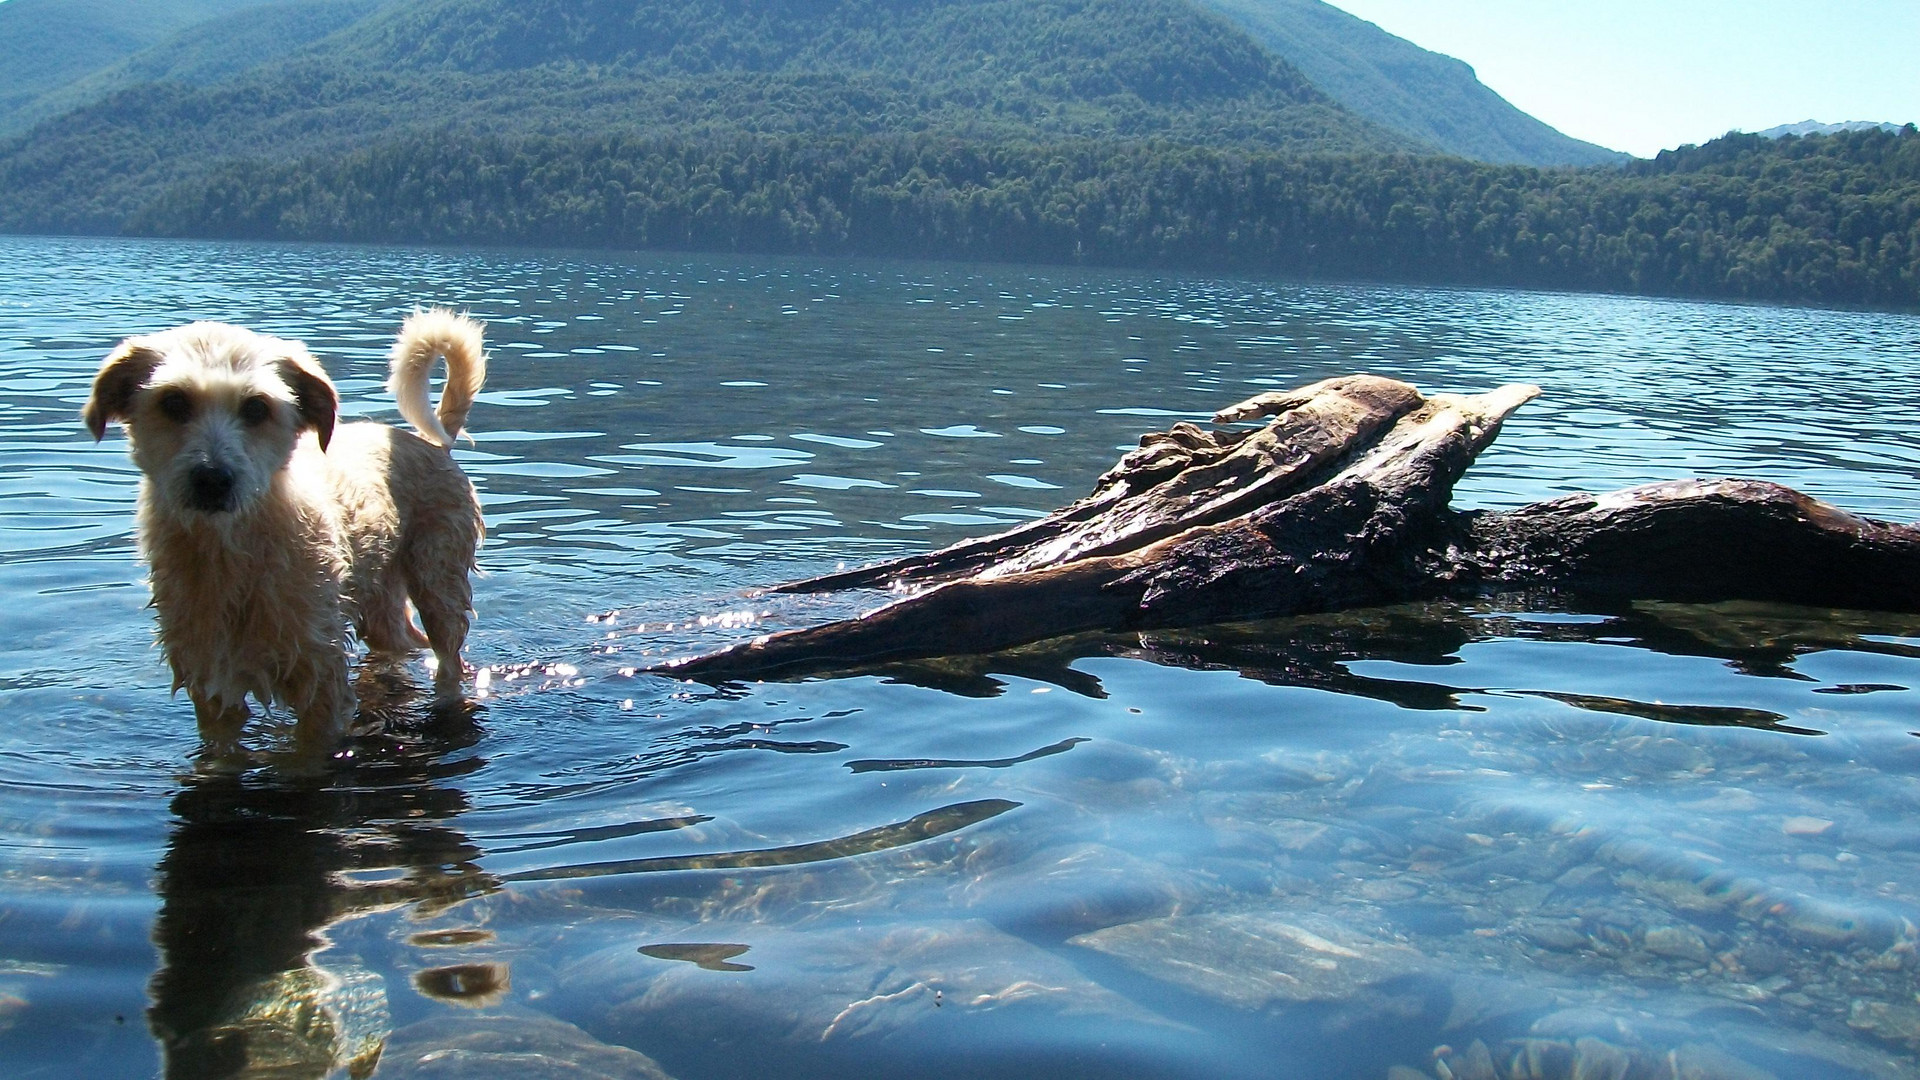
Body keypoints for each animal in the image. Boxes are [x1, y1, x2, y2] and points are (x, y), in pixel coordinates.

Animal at [82, 307, 487, 753]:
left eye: (256, 408)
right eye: (173, 401)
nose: (212, 478)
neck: (232, 550)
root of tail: (431, 443)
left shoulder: (321, 680)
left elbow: (306, 757)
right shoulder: (212, 681)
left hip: (439, 584)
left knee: (448, 659)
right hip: (380, 602)